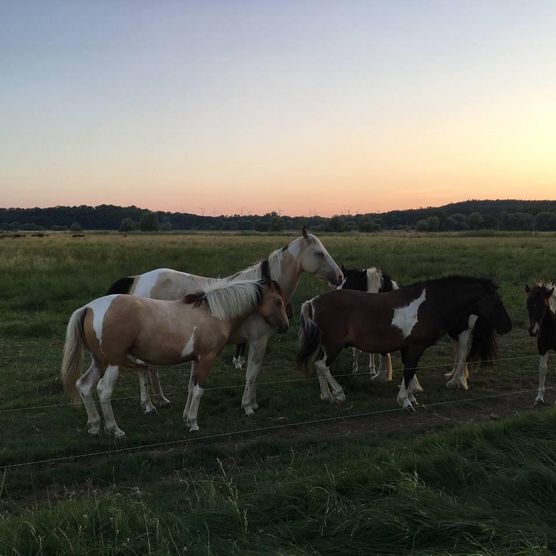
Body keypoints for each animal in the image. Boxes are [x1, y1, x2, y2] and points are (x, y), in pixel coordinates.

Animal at [60, 280, 288, 436]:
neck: (213, 312)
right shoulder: (207, 358)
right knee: (103, 391)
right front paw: (194, 423)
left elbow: (190, 388)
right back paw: (115, 429)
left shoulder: (196, 359)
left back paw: (94, 426)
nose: (285, 326)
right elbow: (199, 390)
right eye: (278, 301)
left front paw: (186, 418)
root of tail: (88, 308)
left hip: (100, 362)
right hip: (113, 363)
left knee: (84, 386)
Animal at [104, 225, 340, 412]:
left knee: (150, 368)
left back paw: (161, 400)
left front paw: (253, 403)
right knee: (144, 369)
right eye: (319, 253)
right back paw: (149, 405)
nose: (339, 276)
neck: (259, 294)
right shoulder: (258, 341)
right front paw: (247, 406)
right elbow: (252, 374)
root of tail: (138, 278)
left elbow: (255, 374)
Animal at [298, 274, 510, 408]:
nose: (507, 325)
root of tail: (313, 302)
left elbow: (410, 372)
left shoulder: (407, 347)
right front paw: (406, 401)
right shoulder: (416, 347)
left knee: (318, 365)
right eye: (496, 300)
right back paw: (339, 393)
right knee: (322, 365)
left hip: (326, 346)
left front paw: (411, 396)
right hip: (333, 347)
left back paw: (327, 395)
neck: (429, 305)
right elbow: (409, 371)